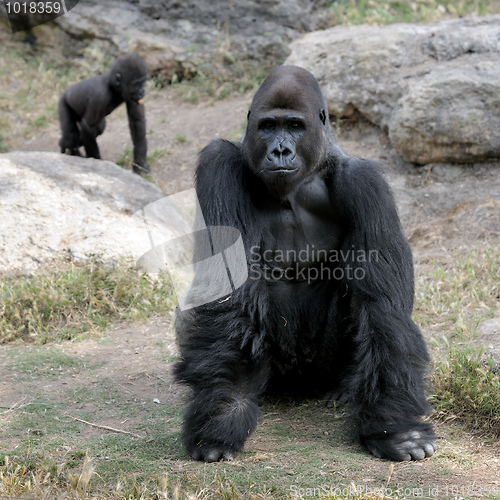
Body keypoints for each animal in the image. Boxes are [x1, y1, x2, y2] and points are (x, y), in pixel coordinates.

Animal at [174, 64, 436, 462]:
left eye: (295, 126)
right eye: (268, 126)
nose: (280, 150)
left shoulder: (365, 184)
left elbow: (381, 304)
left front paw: (395, 428)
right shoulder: (218, 164)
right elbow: (231, 293)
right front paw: (223, 415)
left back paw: (344, 387)